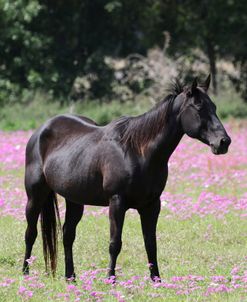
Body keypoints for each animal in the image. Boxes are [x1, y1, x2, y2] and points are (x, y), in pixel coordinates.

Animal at [22, 75, 232, 280]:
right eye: (198, 107)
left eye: (214, 107)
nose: (224, 142)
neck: (138, 152)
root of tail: (41, 131)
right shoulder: (117, 202)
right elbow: (115, 243)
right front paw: (110, 279)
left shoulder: (152, 205)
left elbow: (150, 243)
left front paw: (156, 280)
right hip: (35, 196)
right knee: (31, 233)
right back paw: (25, 272)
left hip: (74, 199)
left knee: (67, 235)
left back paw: (70, 277)